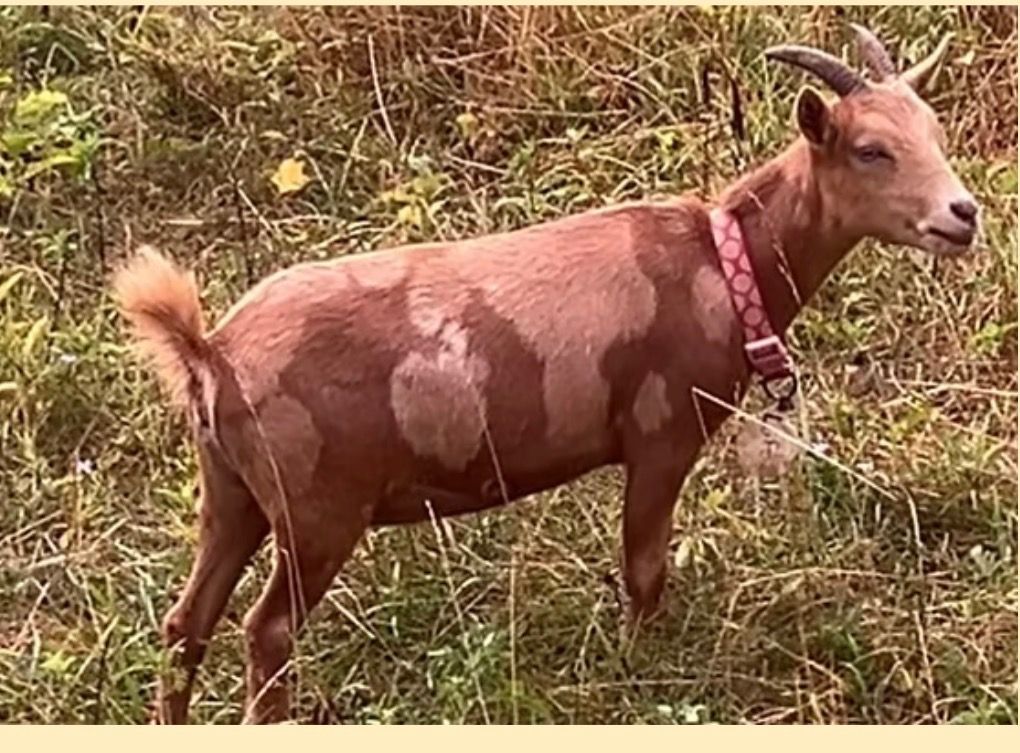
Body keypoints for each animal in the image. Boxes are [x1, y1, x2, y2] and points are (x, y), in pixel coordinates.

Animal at [113, 26, 979, 724]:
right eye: (870, 149)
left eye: (935, 131)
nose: (962, 214)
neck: (721, 265)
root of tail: (211, 352)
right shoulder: (663, 431)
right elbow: (644, 571)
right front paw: (636, 675)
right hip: (317, 506)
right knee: (268, 630)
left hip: (231, 491)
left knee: (183, 626)